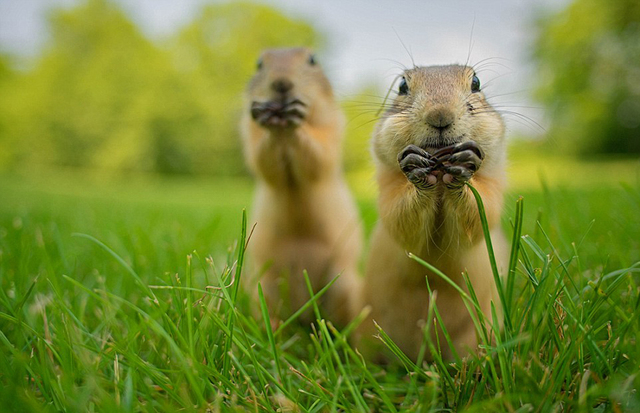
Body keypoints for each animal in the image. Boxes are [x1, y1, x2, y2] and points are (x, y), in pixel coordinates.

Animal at [240, 47, 362, 326]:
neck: (283, 132)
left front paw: (297, 118)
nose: (281, 83)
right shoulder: (250, 133)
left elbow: (319, 154)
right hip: (262, 287)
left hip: (344, 284)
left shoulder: (332, 127)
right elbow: (262, 158)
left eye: (312, 60)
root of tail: (304, 313)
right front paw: (264, 116)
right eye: (259, 63)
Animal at [358, 64, 508, 360]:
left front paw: (464, 165)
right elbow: (400, 219)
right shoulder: (388, 187)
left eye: (476, 82)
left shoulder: (493, 184)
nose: (440, 115)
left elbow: (481, 213)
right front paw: (416, 167)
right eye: (402, 86)